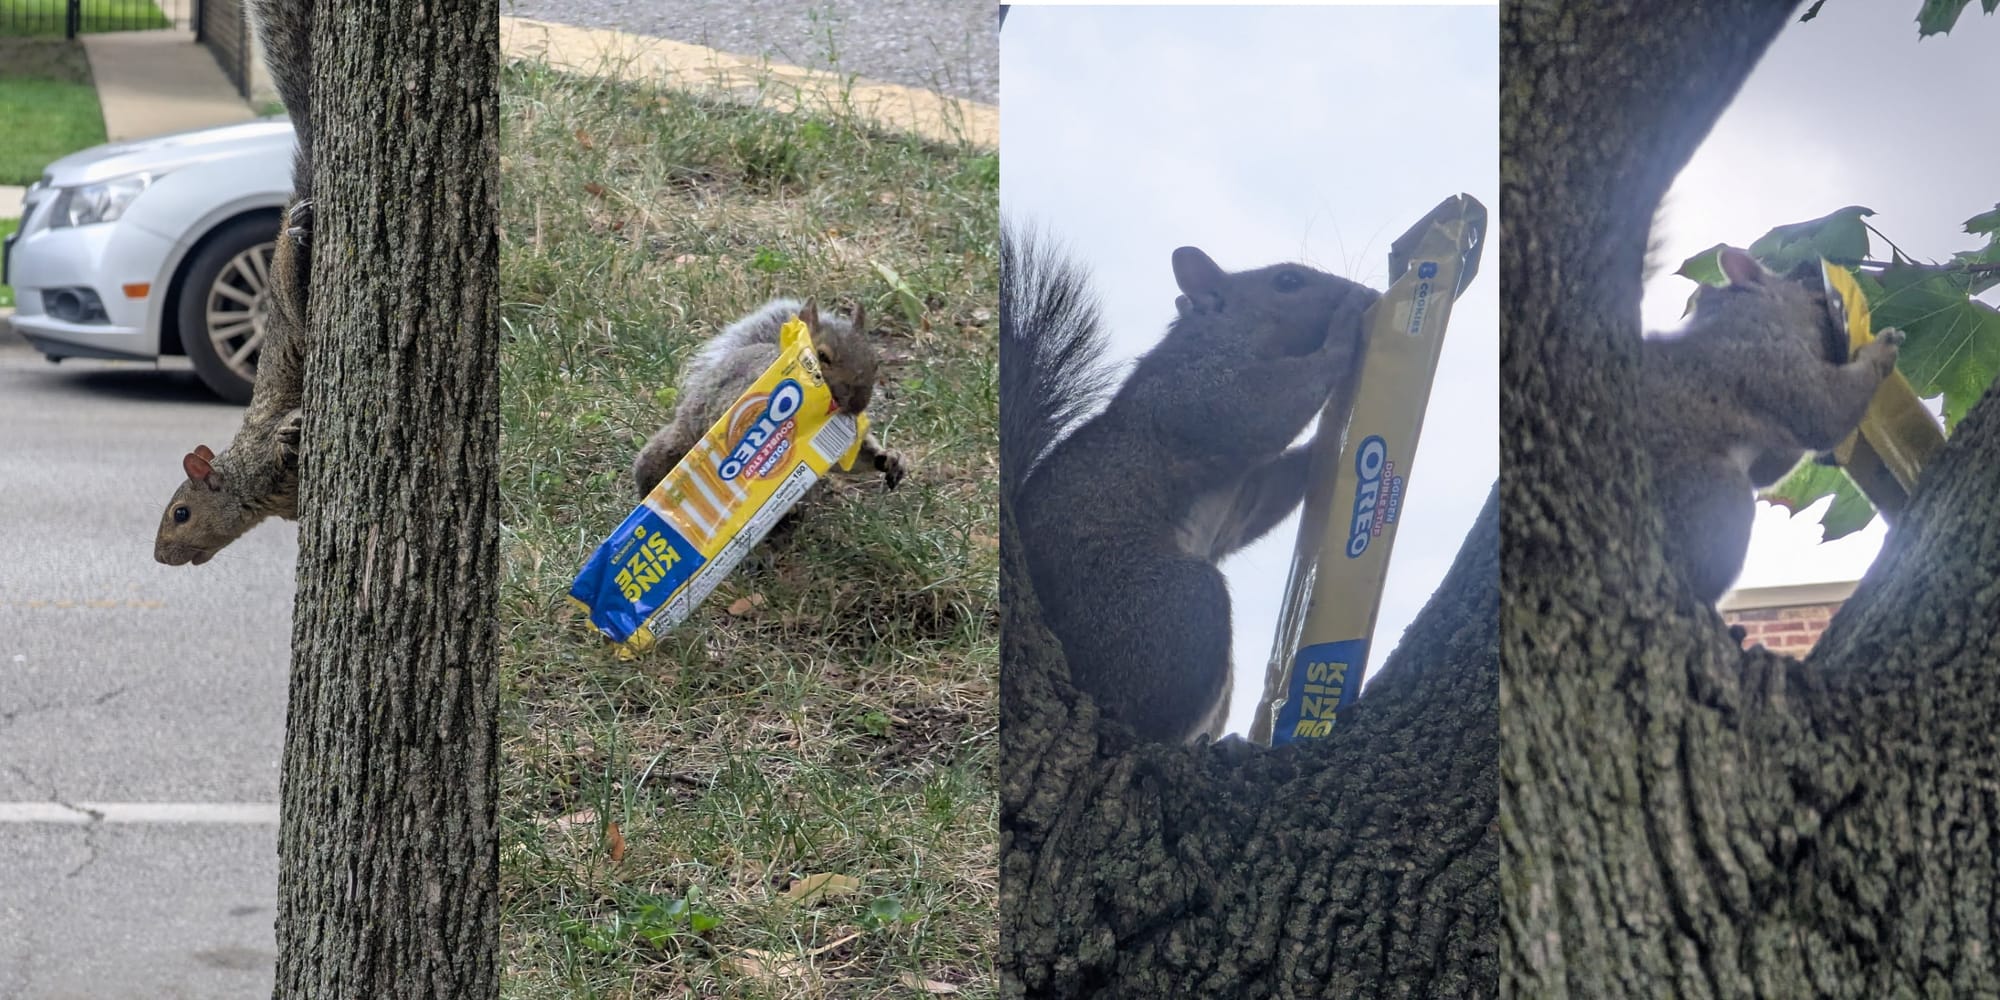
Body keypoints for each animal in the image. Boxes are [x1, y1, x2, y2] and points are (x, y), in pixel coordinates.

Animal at [153, 0, 315, 566]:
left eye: (181, 513)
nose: (159, 557)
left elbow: (281, 433)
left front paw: (290, 430)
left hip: (287, 294)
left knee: (292, 275)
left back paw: (299, 232)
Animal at [1001, 228, 1378, 744]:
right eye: (1287, 281)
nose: (1362, 290)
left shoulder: (1245, 492)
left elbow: (1264, 494)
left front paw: (1326, 443)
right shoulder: (1198, 391)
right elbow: (1261, 406)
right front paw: (1346, 327)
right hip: (1176, 608)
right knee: (1148, 718)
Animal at [1641, 246, 1901, 603]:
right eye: (1805, 283)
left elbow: (1769, 471)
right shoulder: (1771, 363)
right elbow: (1824, 413)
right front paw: (1881, 350)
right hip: (1713, 493)